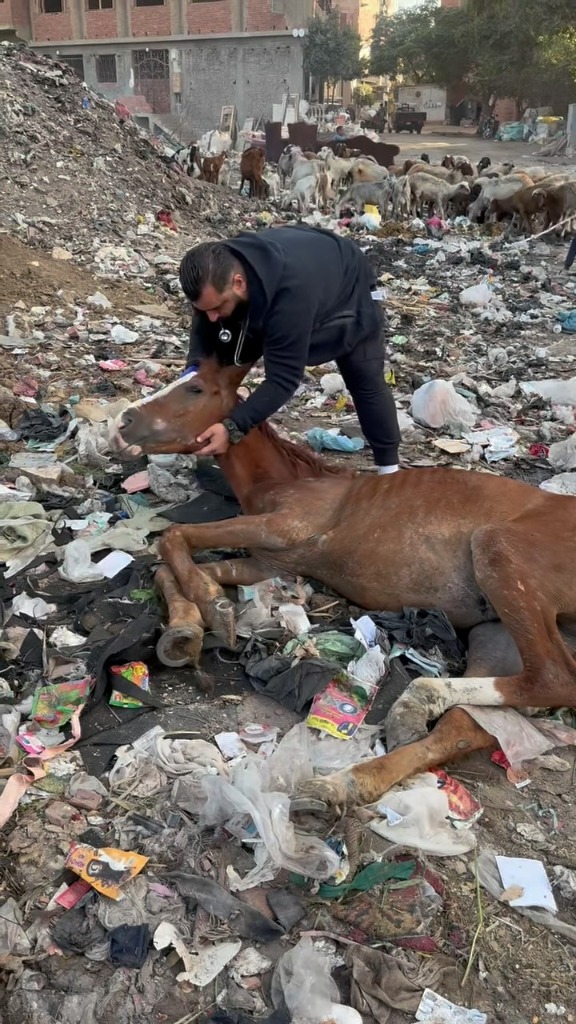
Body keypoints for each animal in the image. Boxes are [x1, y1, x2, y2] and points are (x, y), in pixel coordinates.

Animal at [114, 359, 576, 810]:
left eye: (195, 389)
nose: (124, 420)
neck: (288, 479)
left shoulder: (284, 527)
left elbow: (172, 535)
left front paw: (214, 608)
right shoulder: (268, 562)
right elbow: (172, 565)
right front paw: (185, 630)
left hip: (500, 553)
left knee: (553, 678)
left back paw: (410, 703)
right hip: (497, 633)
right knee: (470, 723)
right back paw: (346, 782)